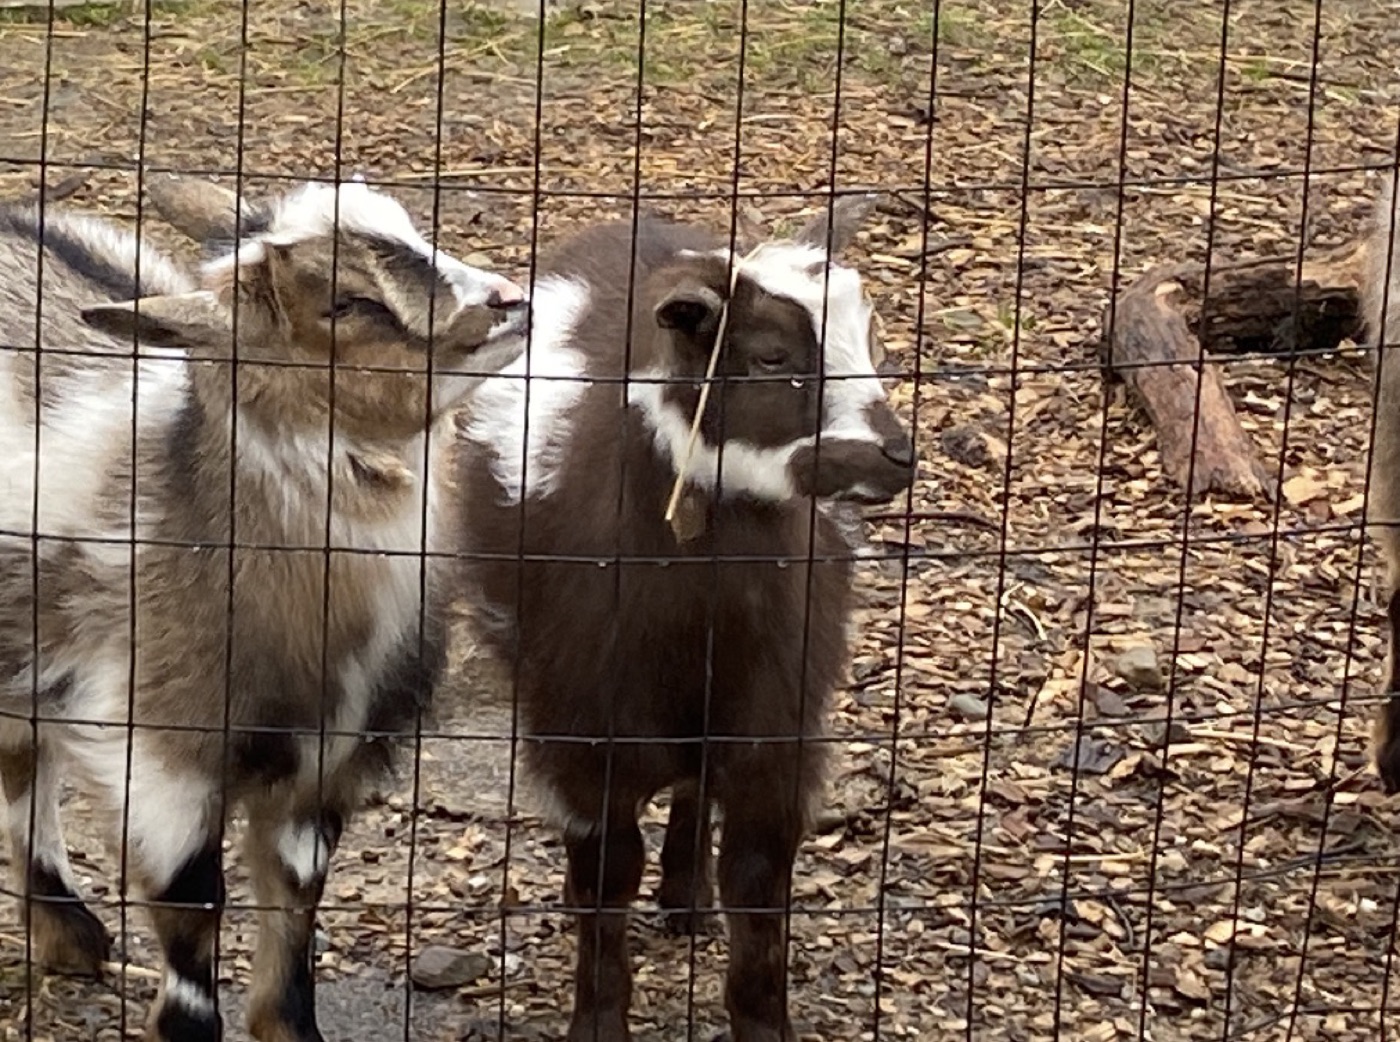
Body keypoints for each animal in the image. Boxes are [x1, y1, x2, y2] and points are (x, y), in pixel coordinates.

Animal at [0, 177, 528, 1042]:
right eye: (348, 302)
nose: (511, 302)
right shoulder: (163, 749)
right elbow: (191, 903)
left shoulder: (324, 757)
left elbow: (297, 891)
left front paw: (287, 1024)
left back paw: (66, 934)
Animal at [453, 197, 917, 1042]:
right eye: (768, 356)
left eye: (870, 339)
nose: (896, 456)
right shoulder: (585, 730)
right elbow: (604, 874)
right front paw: (597, 1021)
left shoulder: (776, 724)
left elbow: (759, 886)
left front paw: (763, 1025)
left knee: (697, 791)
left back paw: (686, 897)